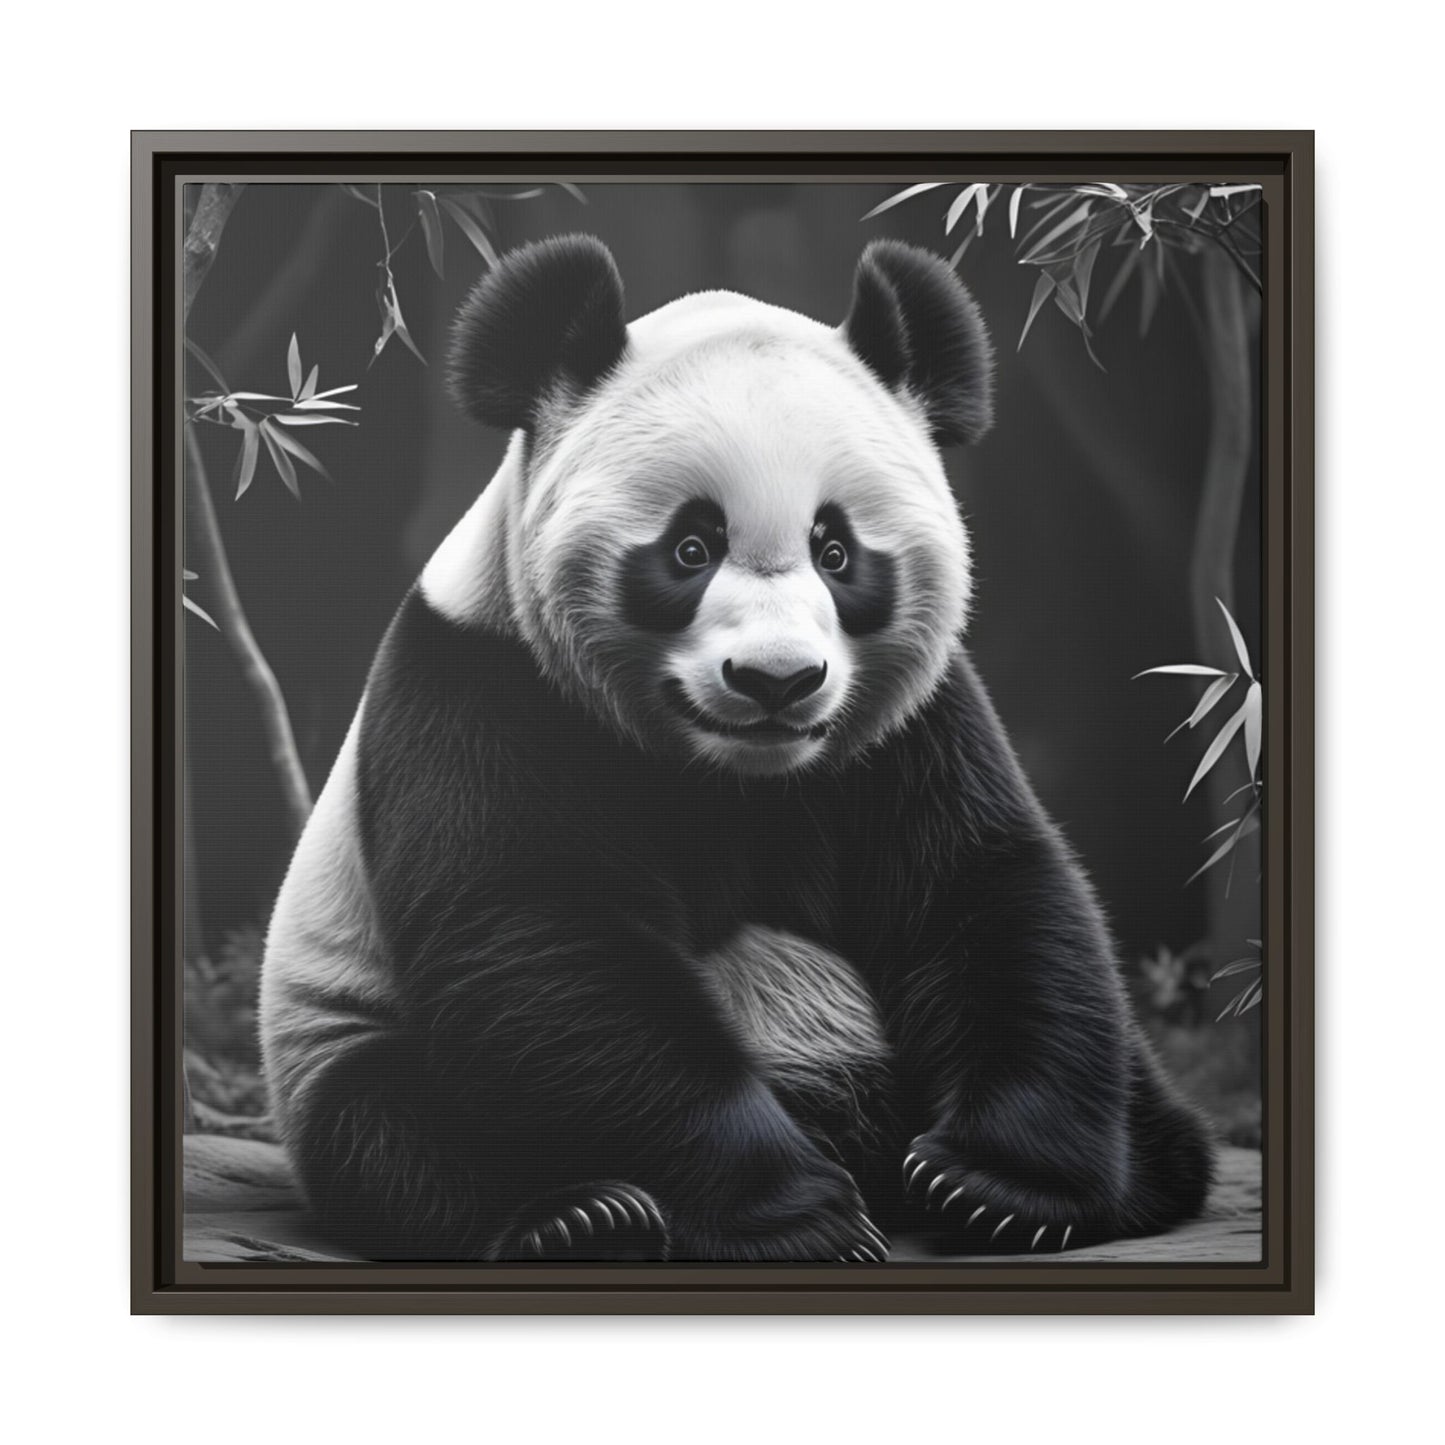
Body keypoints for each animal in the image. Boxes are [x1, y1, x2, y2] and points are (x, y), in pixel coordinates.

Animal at [259, 234, 1214, 1262]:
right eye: (690, 547)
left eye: (836, 550)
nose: (776, 680)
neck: (734, 777)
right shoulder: (485, 690)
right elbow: (542, 939)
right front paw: (800, 1214)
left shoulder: (911, 726)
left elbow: (983, 889)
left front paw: (995, 1186)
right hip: (336, 1034)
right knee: (398, 1131)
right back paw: (582, 1217)